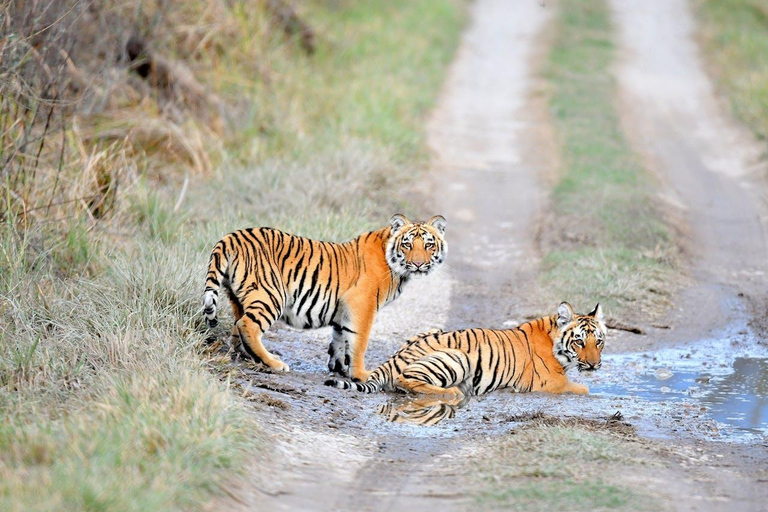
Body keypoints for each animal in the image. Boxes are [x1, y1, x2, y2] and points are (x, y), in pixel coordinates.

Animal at [201, 213, 448, 380]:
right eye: (407, 244)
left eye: (429, 244)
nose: (418, 263)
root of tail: (231, 236)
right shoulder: (361, 305)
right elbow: (359, 342)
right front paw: (361, 374)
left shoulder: (343, 309)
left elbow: (340, 338)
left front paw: (339, 368)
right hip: (271, 295)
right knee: (248, 326)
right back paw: (274, 363)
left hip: (238, 297)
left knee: (237, 326)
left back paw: (243, 354)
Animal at [324, 302, 608, 398]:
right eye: (579, 342)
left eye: (599, 341)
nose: (595, 365)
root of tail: (392, 359)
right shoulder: (551, 383)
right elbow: (583, 388)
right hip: (457, 357)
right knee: (406, 380)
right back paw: (452, 392)